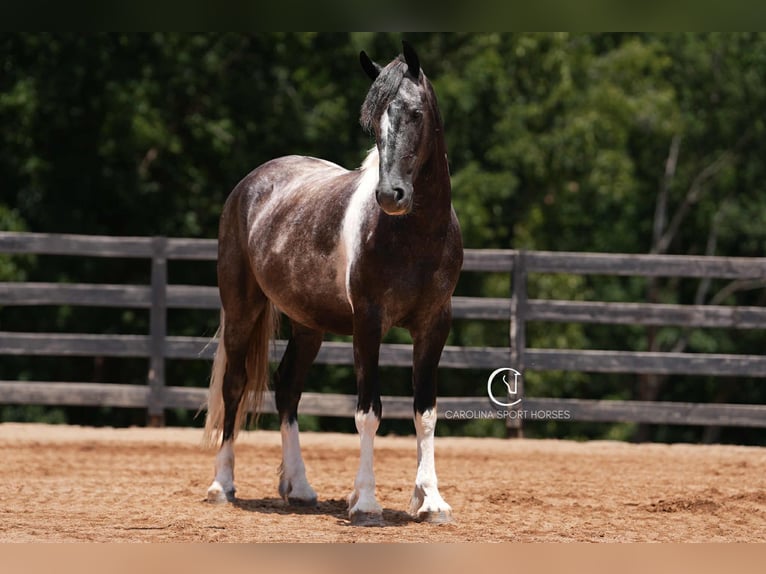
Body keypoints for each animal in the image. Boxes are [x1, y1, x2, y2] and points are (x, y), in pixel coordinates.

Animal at [202, 41, 463, 526]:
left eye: (416, 113)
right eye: (374, 123)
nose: (390, 195)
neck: (414, 236)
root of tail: (251, 184)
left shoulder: (434, 324)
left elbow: (425, 413)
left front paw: (429, 500)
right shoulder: (368, 324)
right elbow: (368, 412)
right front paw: (366, 502)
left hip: (309, 325)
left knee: (288, 387)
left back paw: (300, 488)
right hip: (242, 308)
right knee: (235, 385)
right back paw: (221, 485)